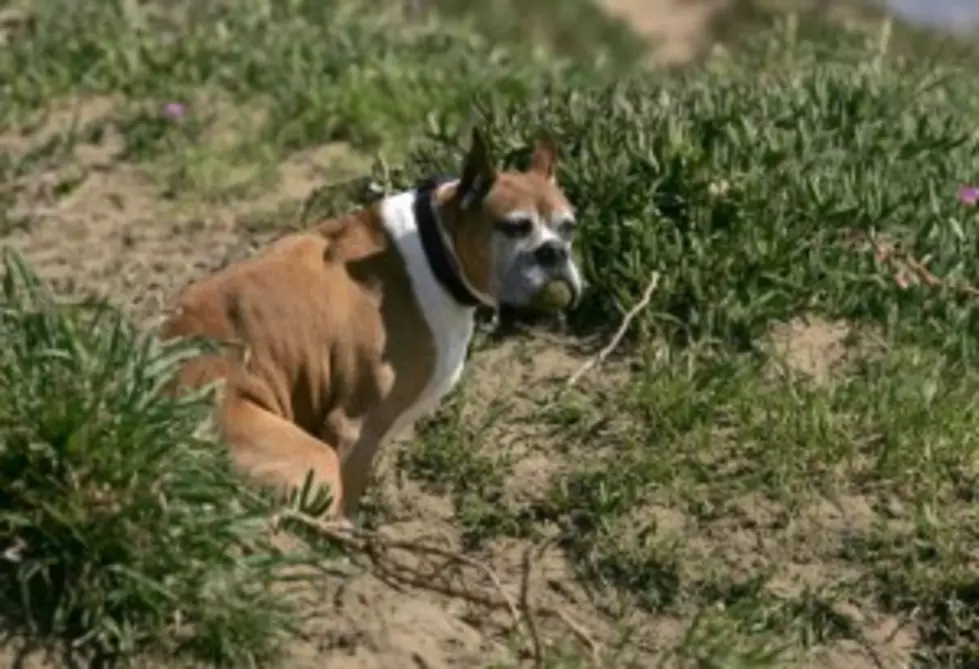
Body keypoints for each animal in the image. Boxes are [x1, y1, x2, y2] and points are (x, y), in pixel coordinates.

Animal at [160, 128, 580, 520]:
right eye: (515, 227)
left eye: (568, 227)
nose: (554, 252)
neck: (437, 247)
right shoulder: (353, 430)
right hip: (312, 461)